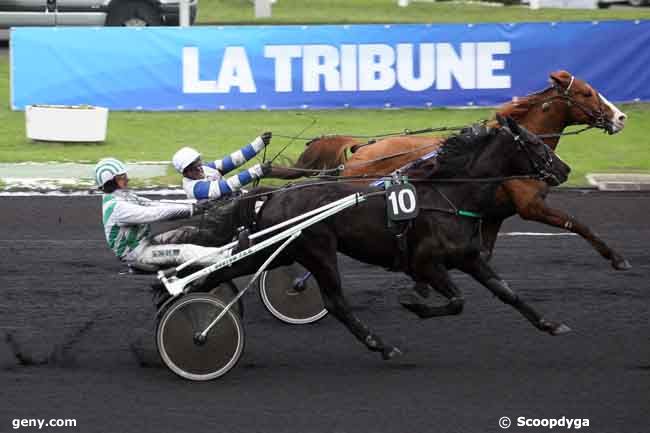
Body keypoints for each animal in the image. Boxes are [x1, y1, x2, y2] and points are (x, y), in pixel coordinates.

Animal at [270, 71, 628, 270]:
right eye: (586, 93)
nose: (620, 117)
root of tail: (361, 150)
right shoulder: (531, 206)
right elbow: (578, 224)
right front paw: (616, 257)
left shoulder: (495, 215)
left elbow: (483, 253)